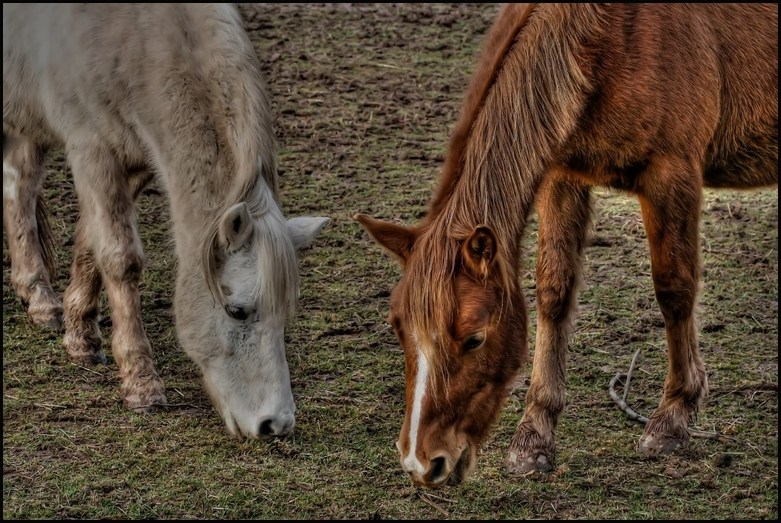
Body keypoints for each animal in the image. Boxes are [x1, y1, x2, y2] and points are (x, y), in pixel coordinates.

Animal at [2, 3, 330, 438]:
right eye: (237, 311)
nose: (275, 424)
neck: (134, 36)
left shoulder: (136, 153)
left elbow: (91, 239)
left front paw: (81, 334)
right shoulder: (91, 147)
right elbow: (120, 258)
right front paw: (140, 382)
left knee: (18, 183)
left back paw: (39, 297)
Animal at [356, 3, 776, 488]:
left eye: (474, 339)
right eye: (398, 328)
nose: (421, 463)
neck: (616, 36)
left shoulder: (672, 175)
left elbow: (674, 290)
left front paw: (672, 418)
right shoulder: (562, 177)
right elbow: (554, 294)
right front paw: (534, 437)